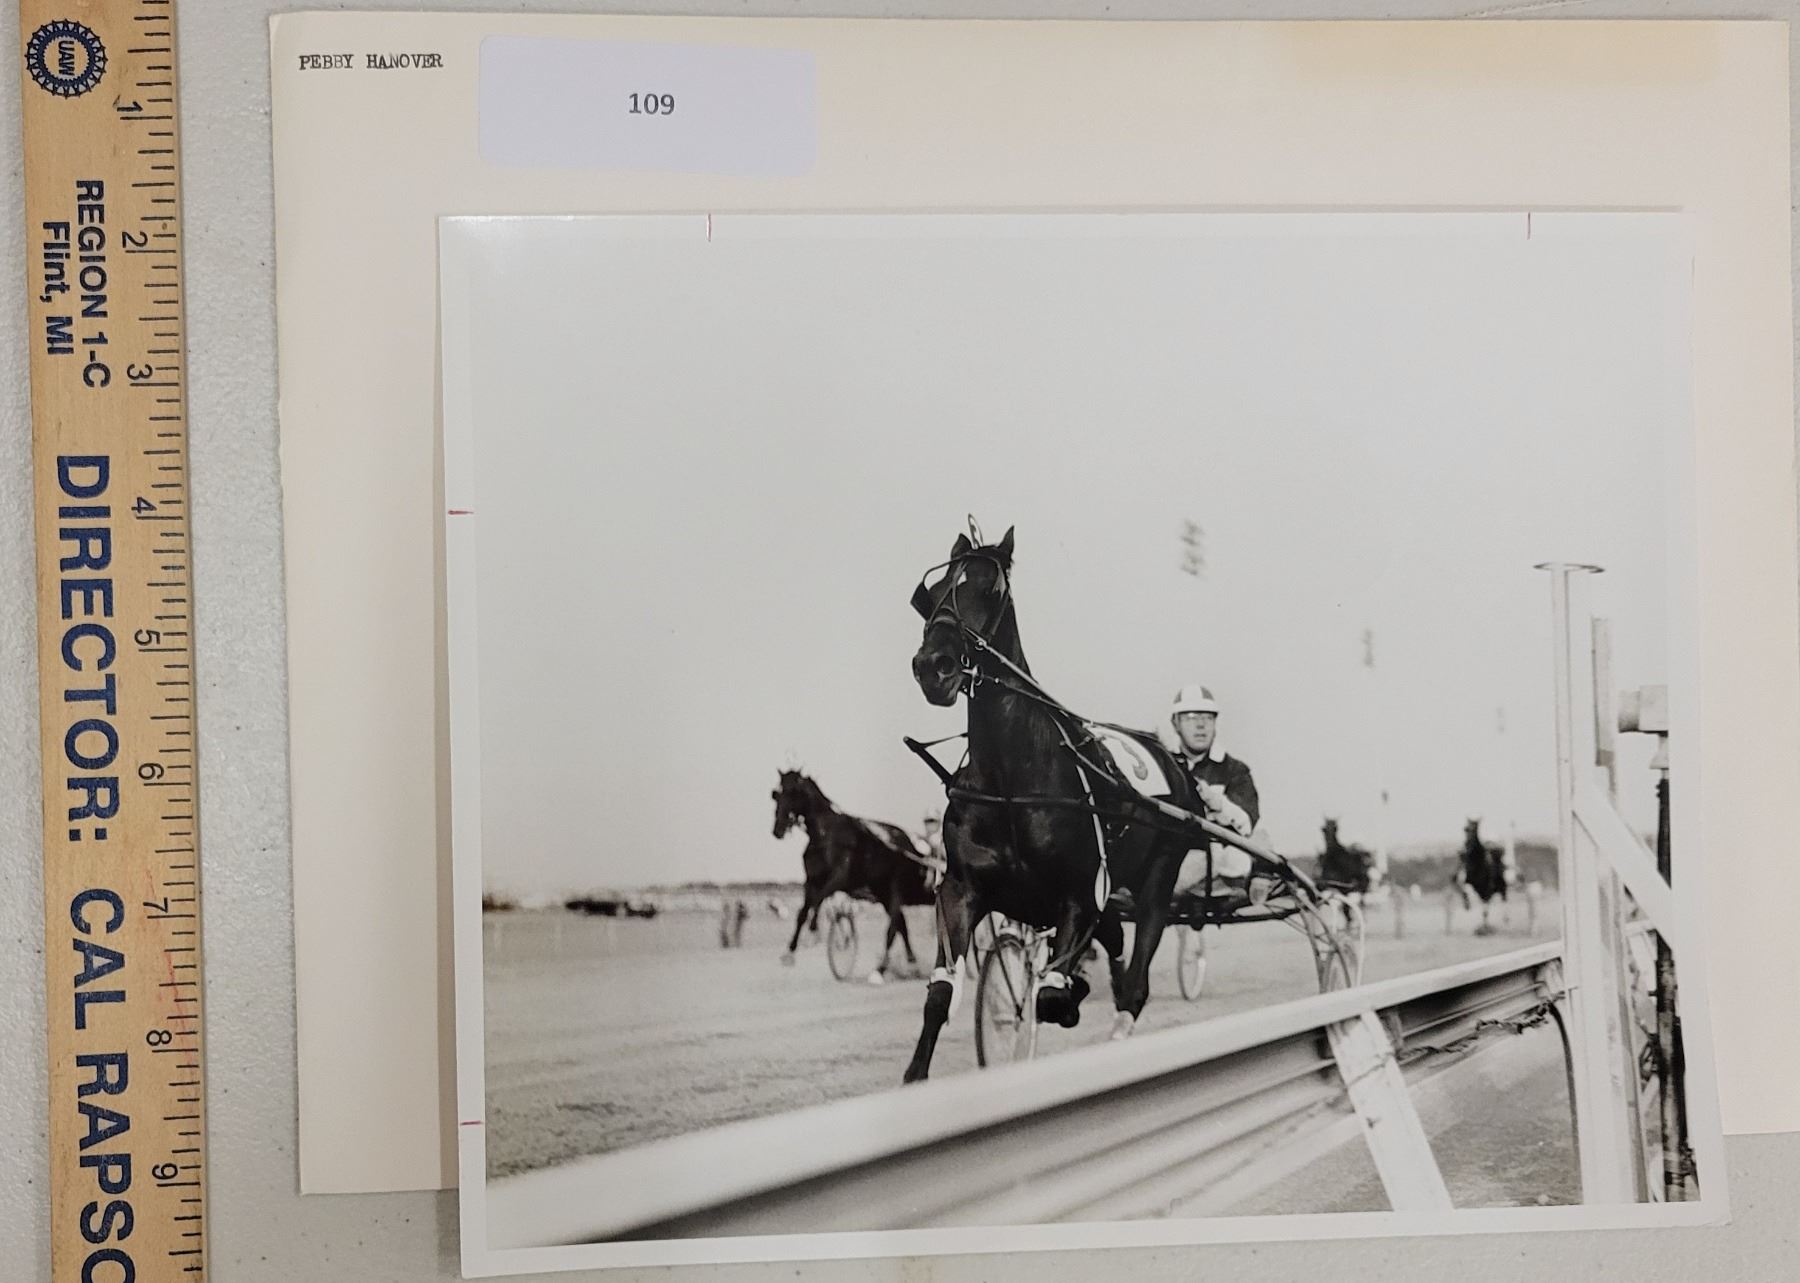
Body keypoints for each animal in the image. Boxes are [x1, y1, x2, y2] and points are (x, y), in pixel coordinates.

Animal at [771, 769, 938, 980]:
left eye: (793, 792)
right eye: (777, 794)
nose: (778, 829)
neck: (826, 835)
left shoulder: (840, 878)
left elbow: (818, 899)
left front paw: (813, 931)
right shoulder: (811, 881)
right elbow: (802, 912)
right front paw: (790, 952)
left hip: (895, 889)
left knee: (893, 928)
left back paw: (880, 970)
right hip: (884, 894)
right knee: (901, 925)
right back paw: (909, 964)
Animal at [902, 526, 1205, 1082]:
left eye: (991, 589)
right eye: (931, 592)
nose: (934, 667)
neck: (1010, 782)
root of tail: (1171, 759)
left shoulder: (1079, 895)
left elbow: (1051, 998)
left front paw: (1065, 998)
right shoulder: (961, 889)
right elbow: (940, 992)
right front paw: (915, 1076)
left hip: (1158, 880)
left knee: (1134, 983)